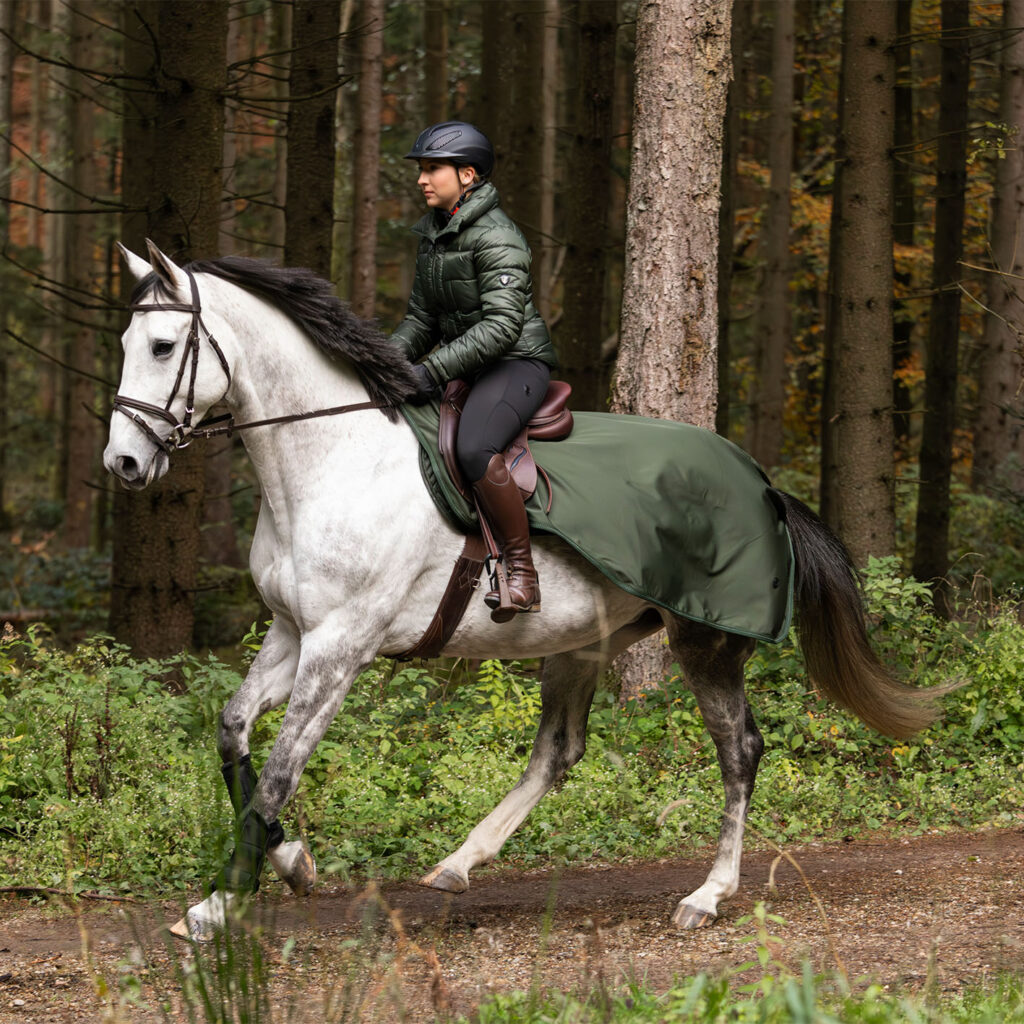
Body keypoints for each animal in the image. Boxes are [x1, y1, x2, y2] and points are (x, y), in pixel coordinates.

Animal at [103, 241, 947, 942]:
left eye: (163, 346)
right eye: (126, 345)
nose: (123, 465)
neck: (328, 456)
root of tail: (761, 481)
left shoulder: (341, 646)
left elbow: (279, 771)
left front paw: (222, 901)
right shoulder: (291, 633)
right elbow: (232, 734)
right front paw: (292, 864)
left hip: (703, 639)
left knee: (738, 750)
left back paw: (707, 896)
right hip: (579, 641)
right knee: (558, 752)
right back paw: (459, 862)